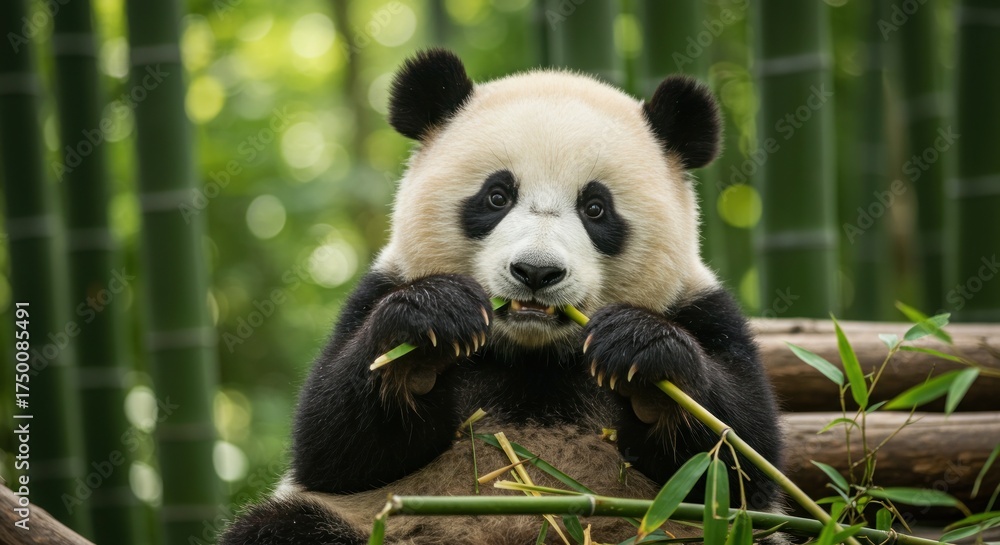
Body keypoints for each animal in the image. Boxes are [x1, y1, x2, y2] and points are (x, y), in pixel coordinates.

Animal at [220, 49, 784, 545]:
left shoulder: (702, 309)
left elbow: (738, 460)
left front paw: (640, 348)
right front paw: (433, 319)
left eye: (596, 208)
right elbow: (333, 444)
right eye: (496, 196)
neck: (533, 356)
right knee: (281, 526)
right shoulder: (377, 290)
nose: (536, 272)